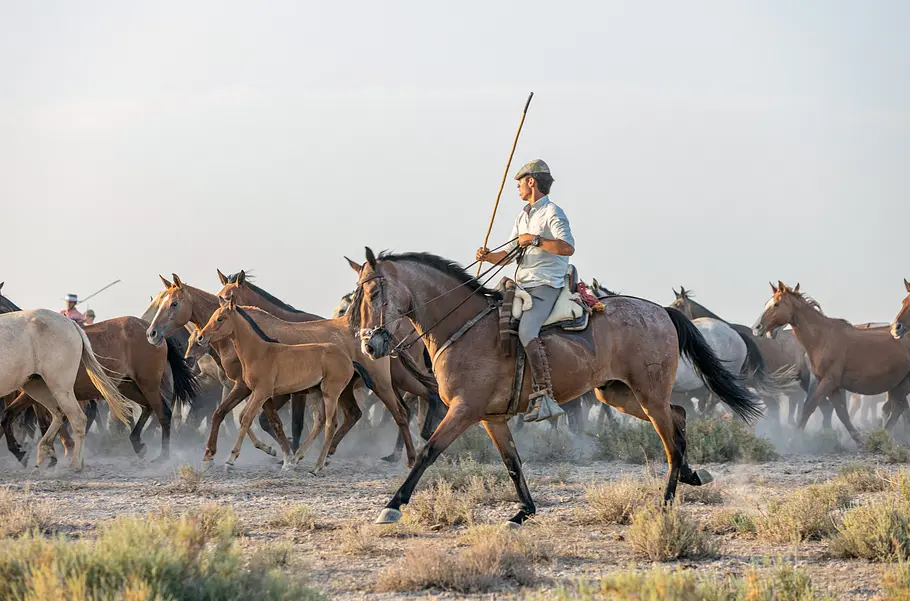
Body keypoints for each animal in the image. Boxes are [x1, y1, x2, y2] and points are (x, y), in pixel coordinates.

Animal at [0, 309, 133, 469]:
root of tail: (71, 323)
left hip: (60, 388)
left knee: (77, 419)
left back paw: (74, 464)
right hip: (35, 386)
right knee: (58, 414)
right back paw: (45, 453)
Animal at [194, 297, 354, 472]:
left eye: (220, 318)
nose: (200, 338)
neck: (260, 352)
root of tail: (348, 359)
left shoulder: (261, 393)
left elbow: (247, 419)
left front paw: (230, 459)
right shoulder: (256, 392)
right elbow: (257, 419)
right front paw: (284, 458)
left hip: (331, 393)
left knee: (331, 424)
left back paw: (317, 466)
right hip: (315, 392)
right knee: (319, 422)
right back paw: (297, 458)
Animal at [352, 249, 761, 526]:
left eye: (373, 294)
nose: (370, 345)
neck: (466, 326)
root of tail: (661, 310)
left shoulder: (464, 410)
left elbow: (428, 452)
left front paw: (392, 506)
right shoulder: (491, 418)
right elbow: (512, 463)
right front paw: (523, 512)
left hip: (648, 395)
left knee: (671, 441)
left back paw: (666, 502)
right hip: (620, 394)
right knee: (678, 416)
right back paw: (692, 474)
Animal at [754, 282, 910, 440]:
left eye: (776, 304)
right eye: (767, 303)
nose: (757, 328)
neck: (823, 338)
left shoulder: (829, 381)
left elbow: (810, 407)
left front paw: (794, 439)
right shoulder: (832, 386)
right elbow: (841, 413)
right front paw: (858, 440)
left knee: (898, 408)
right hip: (897, 384)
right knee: (899, 407)